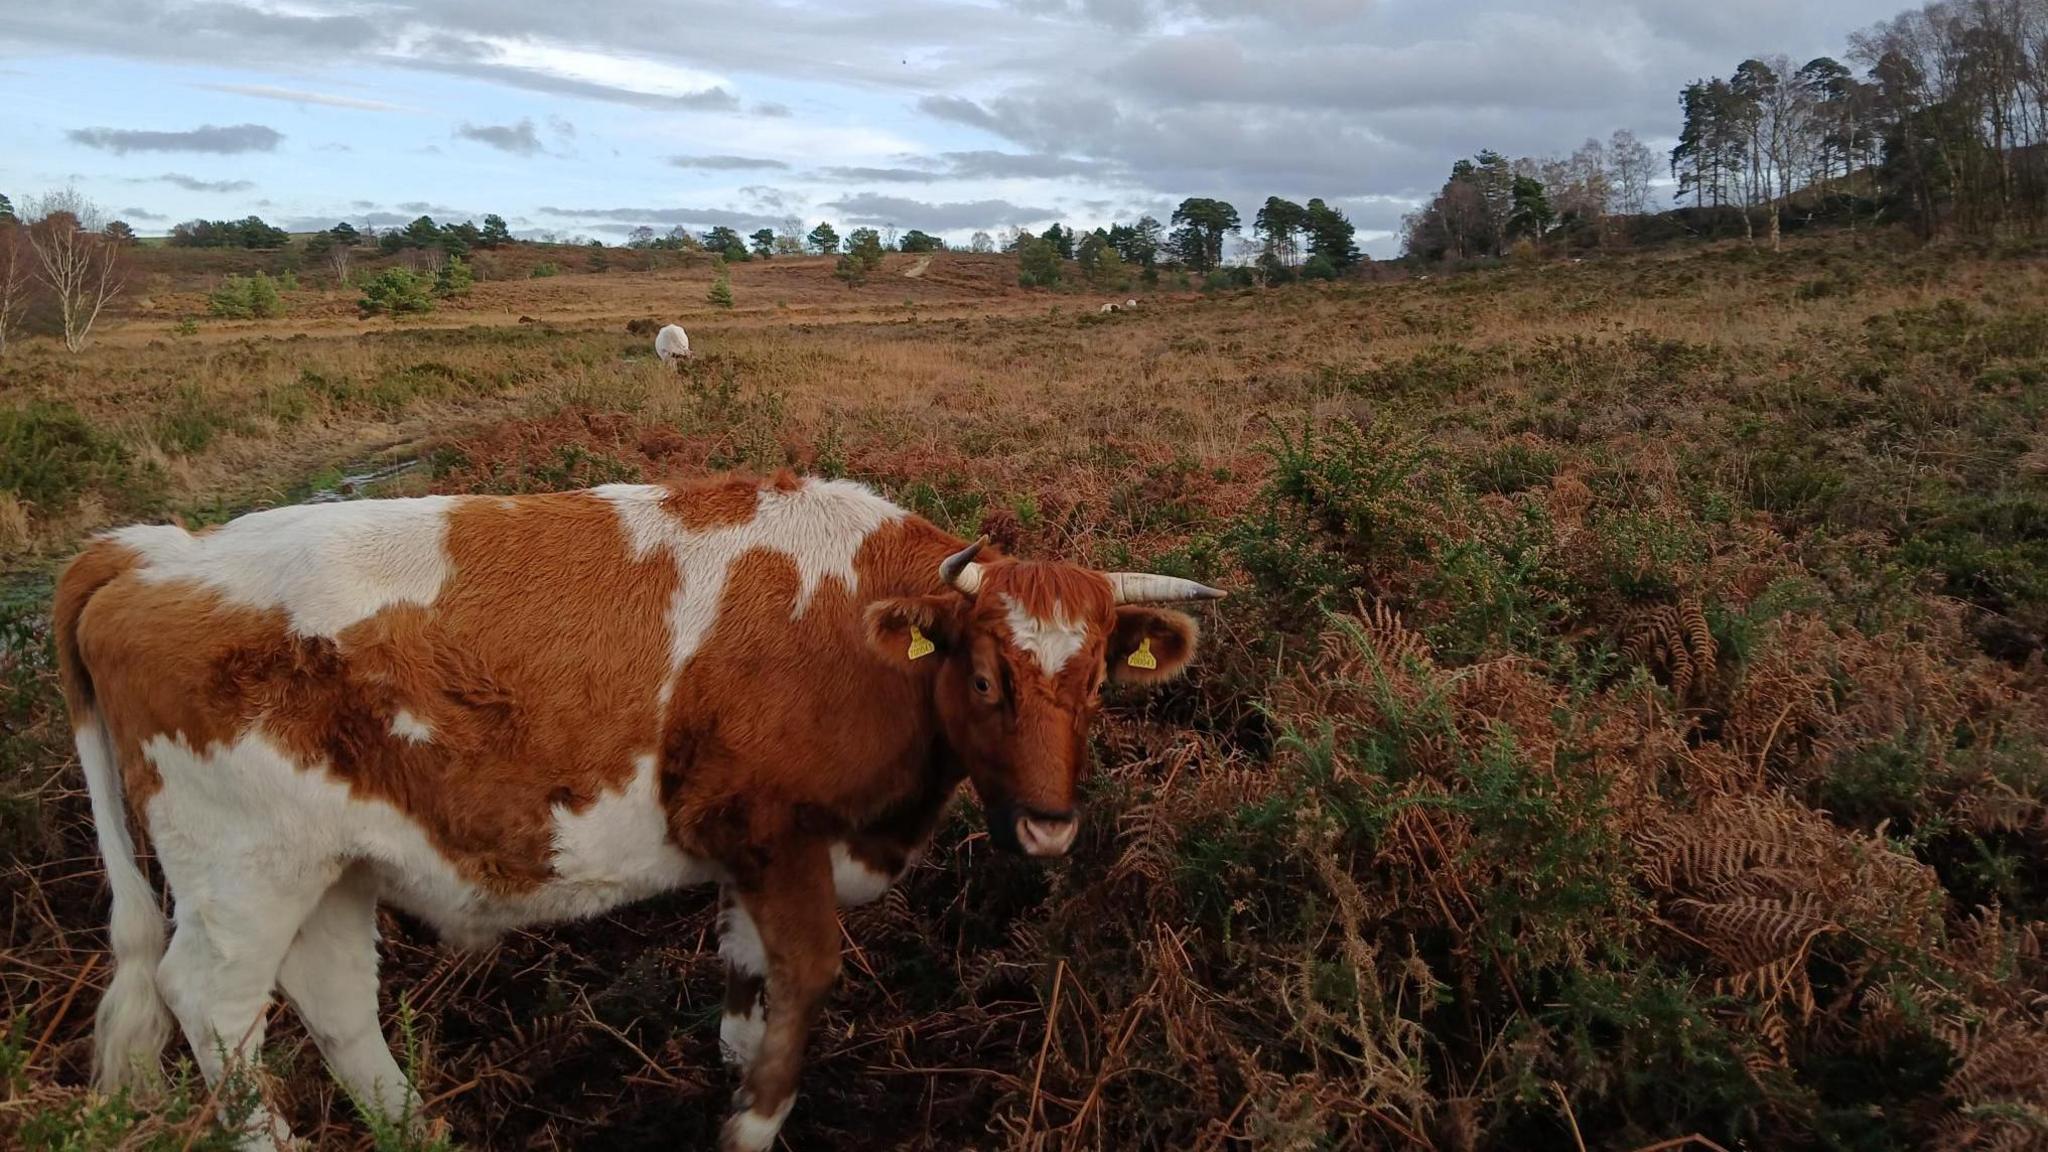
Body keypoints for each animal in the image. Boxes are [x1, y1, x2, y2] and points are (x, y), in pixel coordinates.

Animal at [54, 471, 1221, 1151]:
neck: (850, 620)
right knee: (215, 1006)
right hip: (243, 874)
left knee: (333, 999)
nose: (1049, 823)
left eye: (1099, 684)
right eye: (983, 677)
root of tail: (155, 550)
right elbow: (805, 982)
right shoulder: (776, 833)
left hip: (327, 866)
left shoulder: (747, 860)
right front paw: (753, 1124)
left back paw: (417, 1134)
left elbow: (745, 985)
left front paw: (738, 1075)